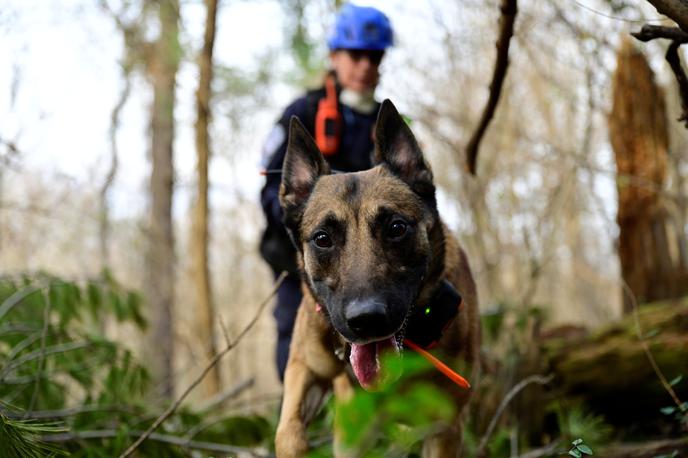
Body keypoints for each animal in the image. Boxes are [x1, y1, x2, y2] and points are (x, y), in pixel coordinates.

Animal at [272, 98, 478, 456]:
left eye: (396, 228)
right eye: (322, 238)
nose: (365, 320)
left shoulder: (443, 428)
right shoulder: (305, 369)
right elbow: (288, 432)